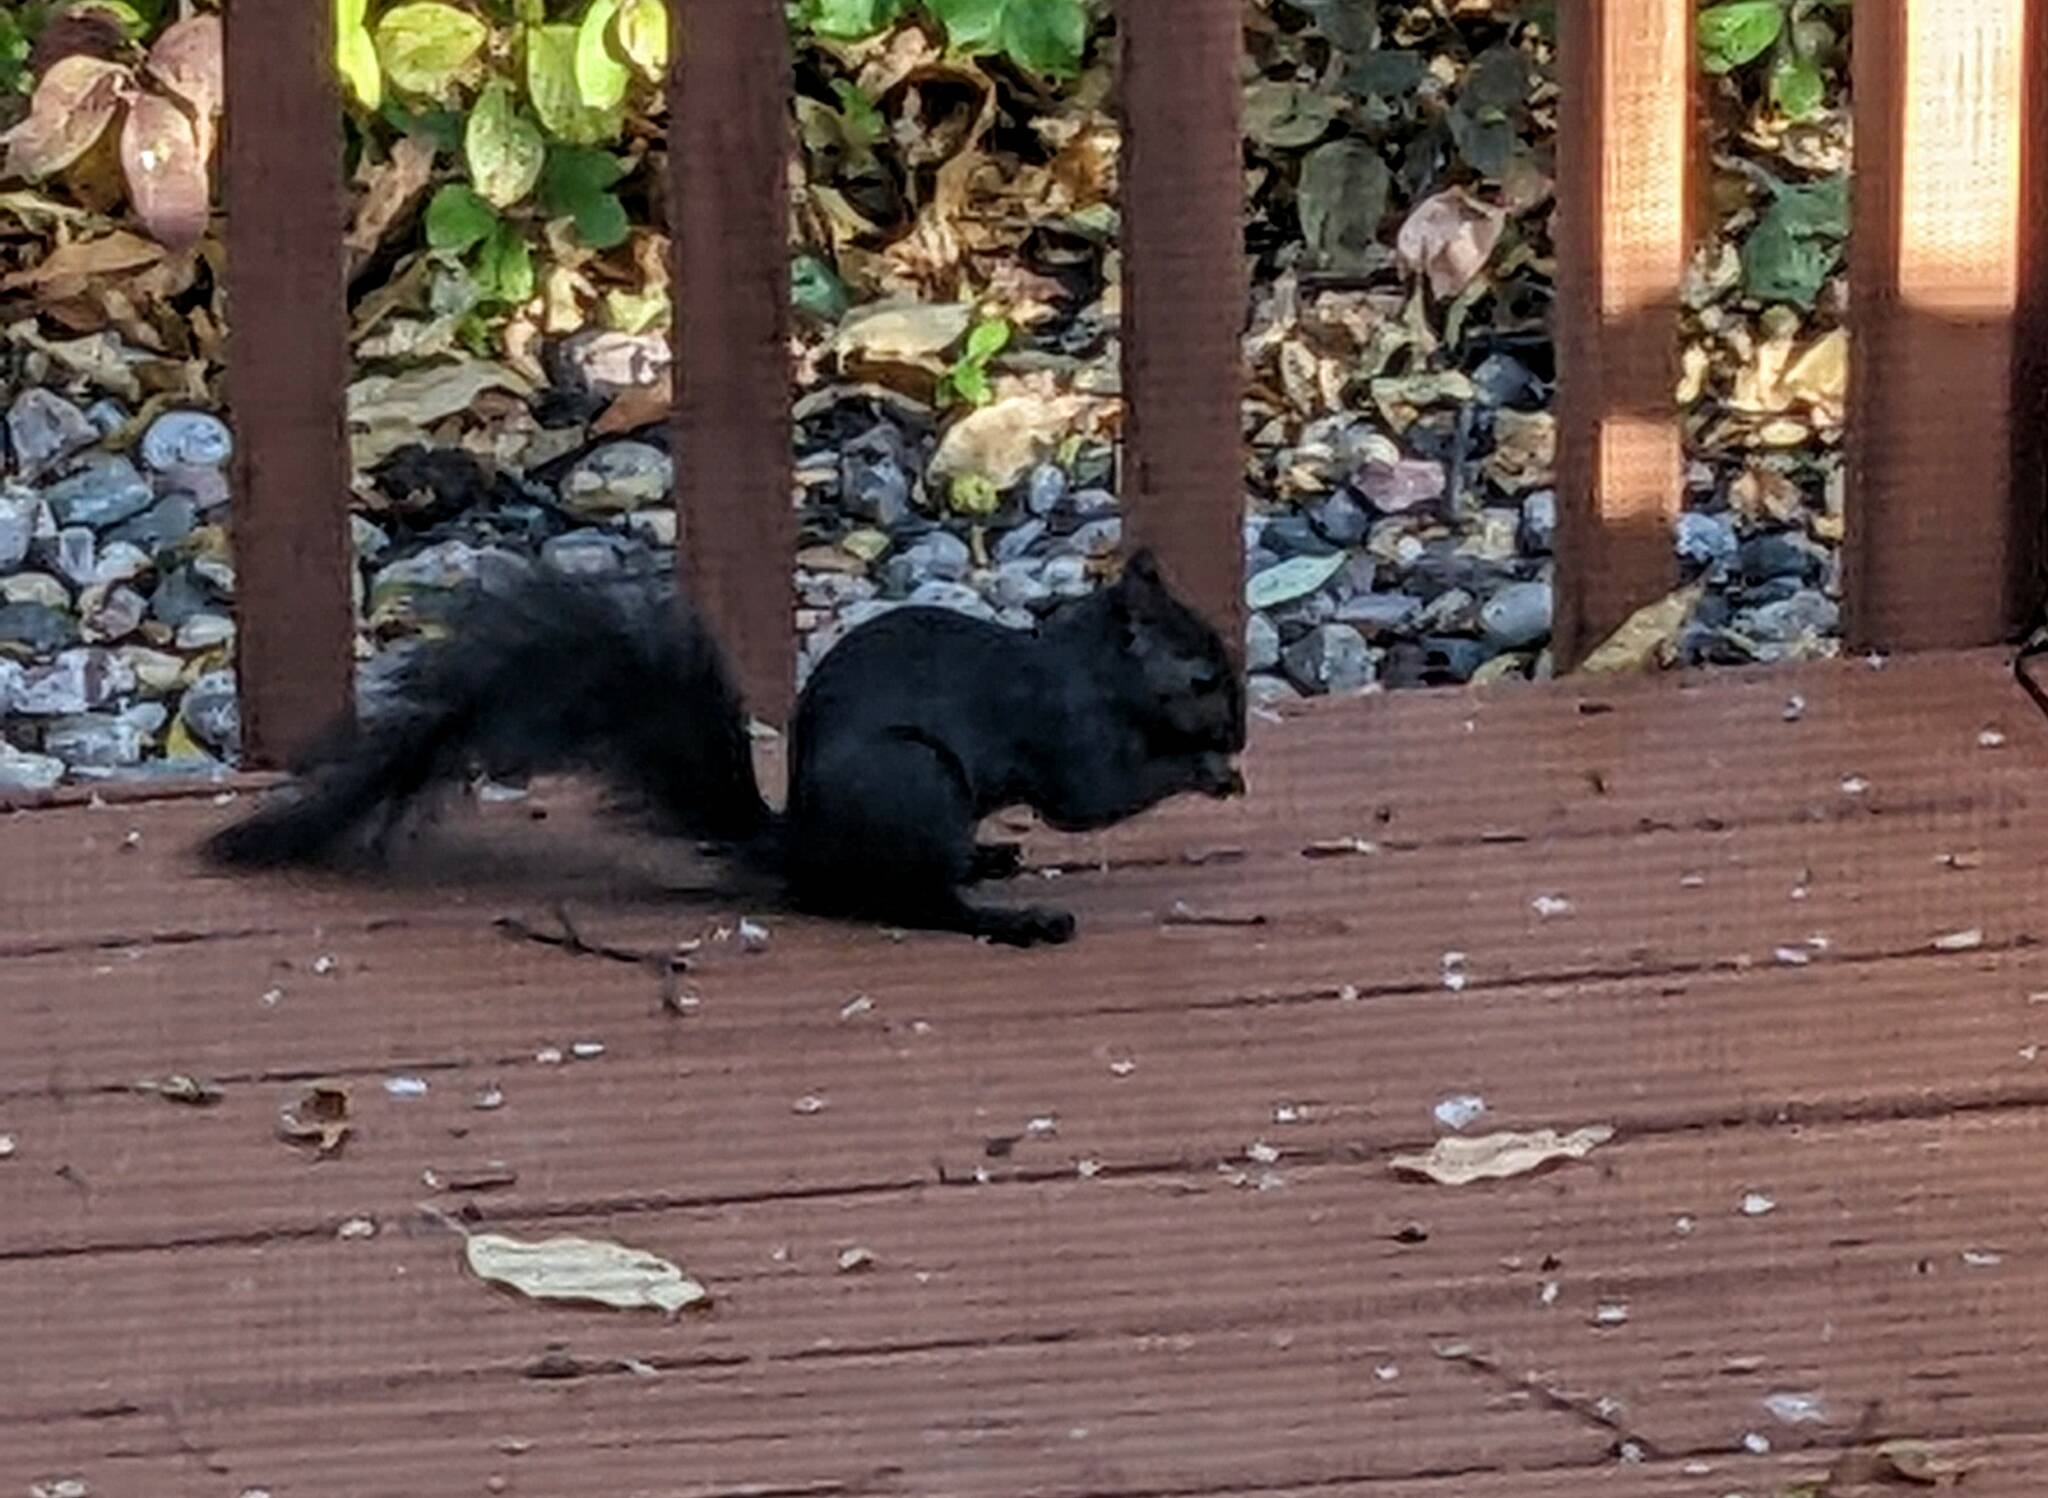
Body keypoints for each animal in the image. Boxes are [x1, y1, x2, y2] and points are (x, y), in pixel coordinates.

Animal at [199, 549, 1236, 950]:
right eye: (1200, 678)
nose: (1236, 733)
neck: (1092, 668)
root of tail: (802, 848)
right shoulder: (1068, 733)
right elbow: (1096, 797)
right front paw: (1206, 772)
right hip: (913, 786)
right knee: (914, 905)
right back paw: (1011, 918)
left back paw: (991, 858)